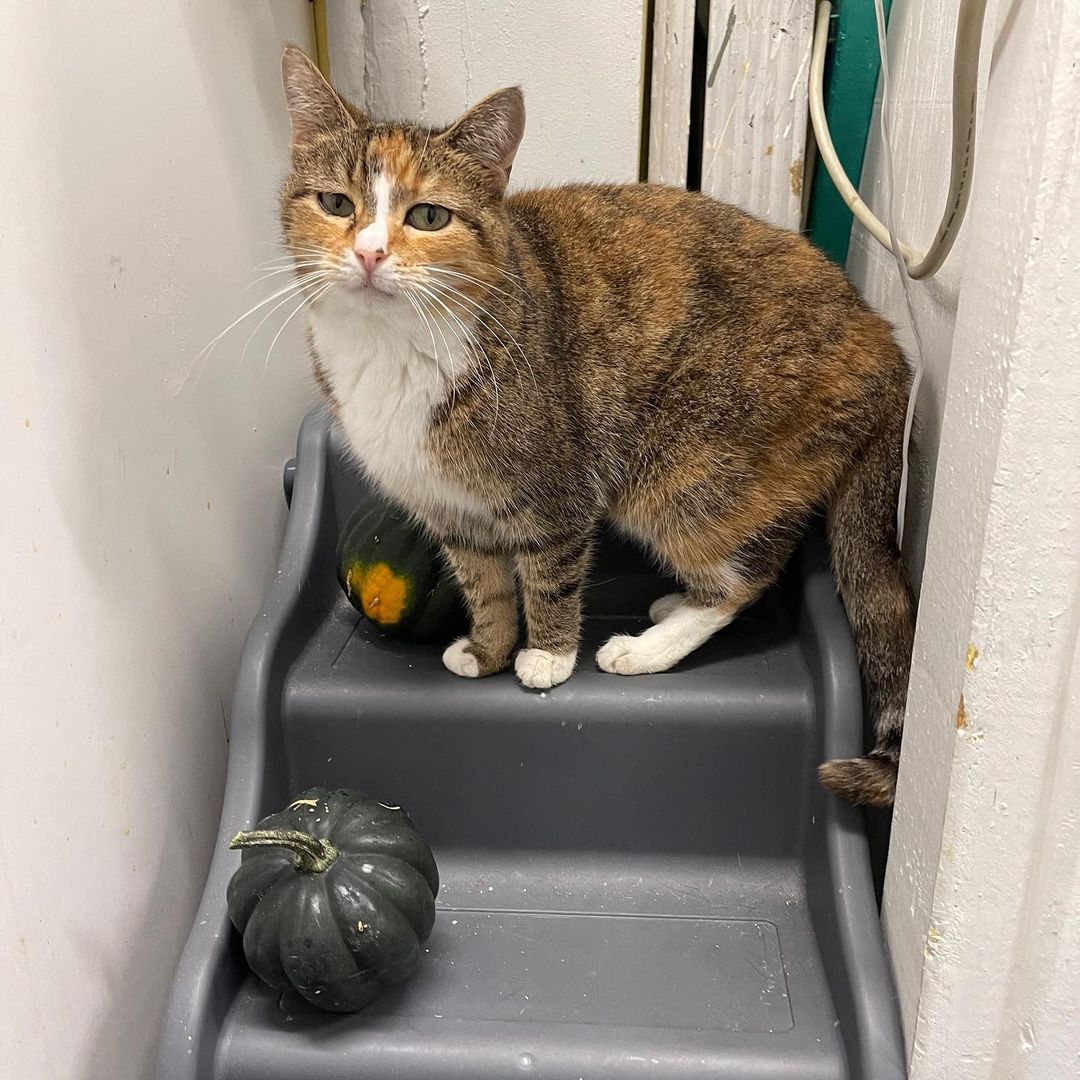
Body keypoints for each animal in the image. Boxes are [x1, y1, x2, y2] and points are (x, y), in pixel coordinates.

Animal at [276, 48, 911, 812]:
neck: (391, 350)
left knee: (748, 573)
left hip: (687, 470)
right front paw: (488, 649)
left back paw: (648, 645)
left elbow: (548, 572)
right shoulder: (447, 508)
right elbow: (484, 583)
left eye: (429, 215)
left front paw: (545, 657)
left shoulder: (556, 487)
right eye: (336, 204)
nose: (369, 254)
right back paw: (672, 604)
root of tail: (881, 335)